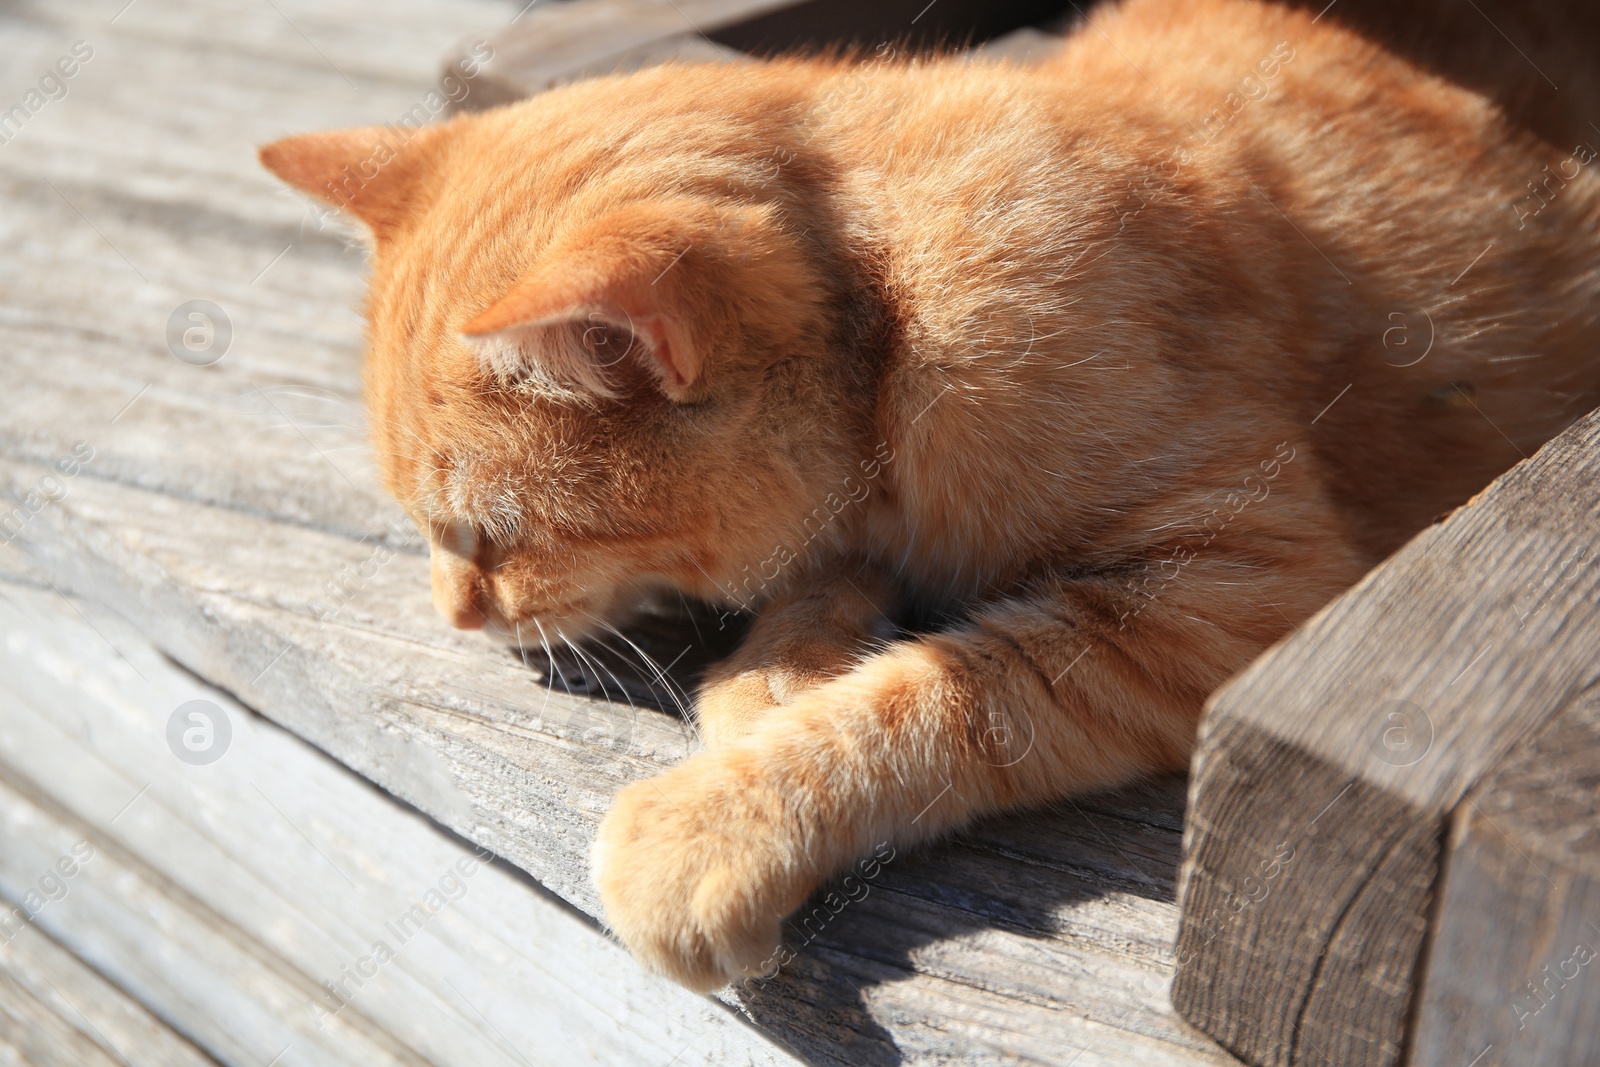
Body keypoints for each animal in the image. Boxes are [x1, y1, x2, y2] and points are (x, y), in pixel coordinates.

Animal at [262, 0, 1600, 991]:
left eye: (487, 537)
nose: (455, 616)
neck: (894, 301)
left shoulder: (1240, 579)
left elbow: (940, 694)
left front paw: (716, 820)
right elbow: (822, 588)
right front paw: (770, 678)